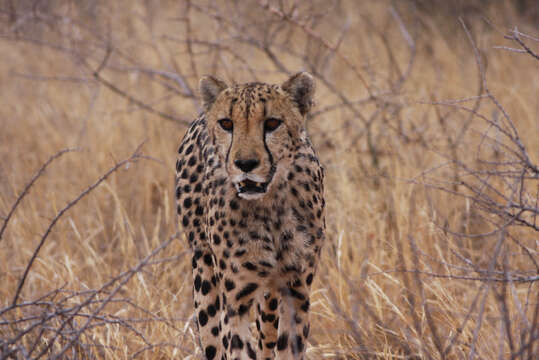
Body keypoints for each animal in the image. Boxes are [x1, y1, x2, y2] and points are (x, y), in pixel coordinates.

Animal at [176, 73, 324, 360]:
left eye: (272, 123)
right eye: (226, 123)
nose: (245, 164)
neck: (269, 207)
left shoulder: (297, 291)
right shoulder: (236, 301)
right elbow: (237, 347)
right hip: (204, 272)